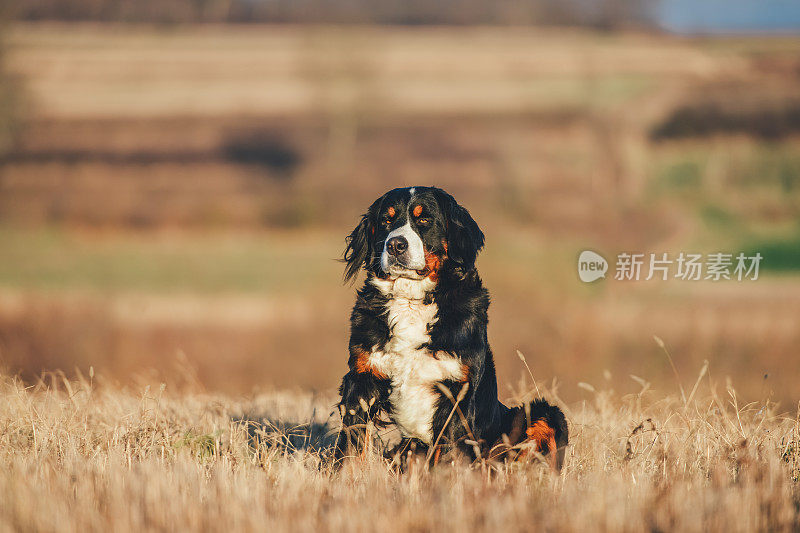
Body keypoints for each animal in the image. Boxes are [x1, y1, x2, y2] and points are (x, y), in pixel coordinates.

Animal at [334, 188, 564, 470]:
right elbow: (350, 447)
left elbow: (446, 454)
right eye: (387, 220)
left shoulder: (456, 390)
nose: (395, 244)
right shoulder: (362, 378)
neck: (411, 302)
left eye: (424, 219)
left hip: (545, 414)